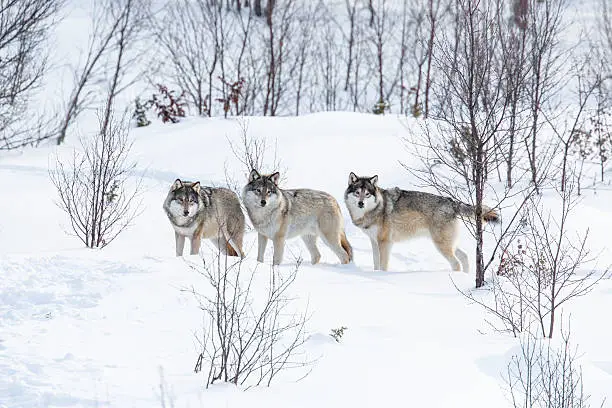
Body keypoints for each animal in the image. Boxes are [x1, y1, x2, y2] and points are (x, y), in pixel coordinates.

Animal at [342, 172, 500, 270]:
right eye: (357, 193)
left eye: (367, 194)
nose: (361, 203)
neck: (376, 209)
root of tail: (453, 202)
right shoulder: (374, 242)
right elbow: (376, 263)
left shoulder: (385, 243)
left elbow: (383, 265)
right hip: (448, 243)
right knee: (465, 257)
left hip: (441, 245)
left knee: (456, 263)